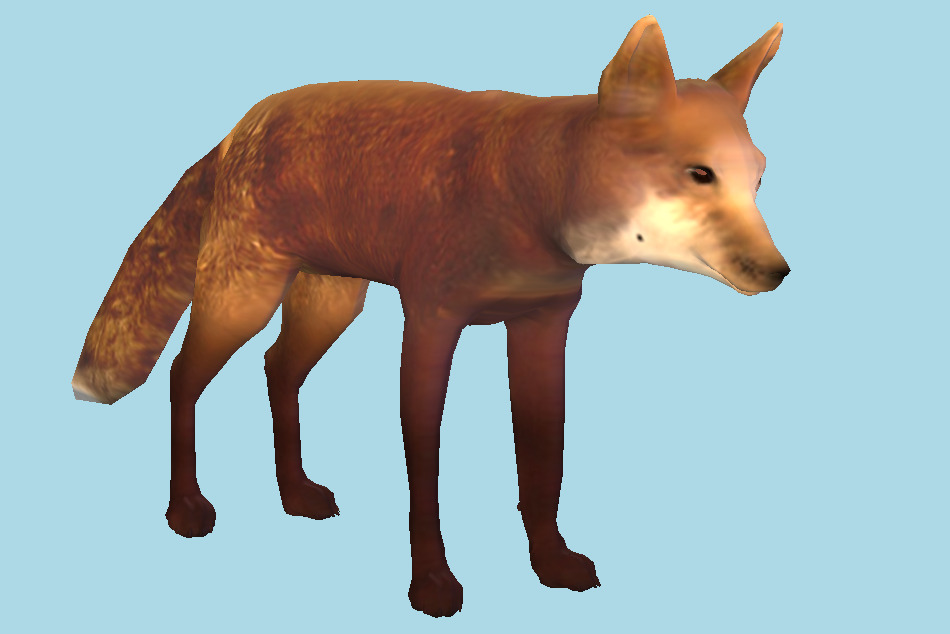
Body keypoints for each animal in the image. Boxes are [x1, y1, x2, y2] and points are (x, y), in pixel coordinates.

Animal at [72, 16, 789, 617]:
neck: (529, 196)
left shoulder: (543, 324)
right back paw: (185, 507)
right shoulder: (430, 322)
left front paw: (550, 563)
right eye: (699, 174)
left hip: (331, 304)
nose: (778, 272)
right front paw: (433, 586)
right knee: (183, 376)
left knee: (277, 369)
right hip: (242, 301)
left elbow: (543, 463)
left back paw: (294, 493)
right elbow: (426, 470)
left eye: (757, 179)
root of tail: (236, 129)